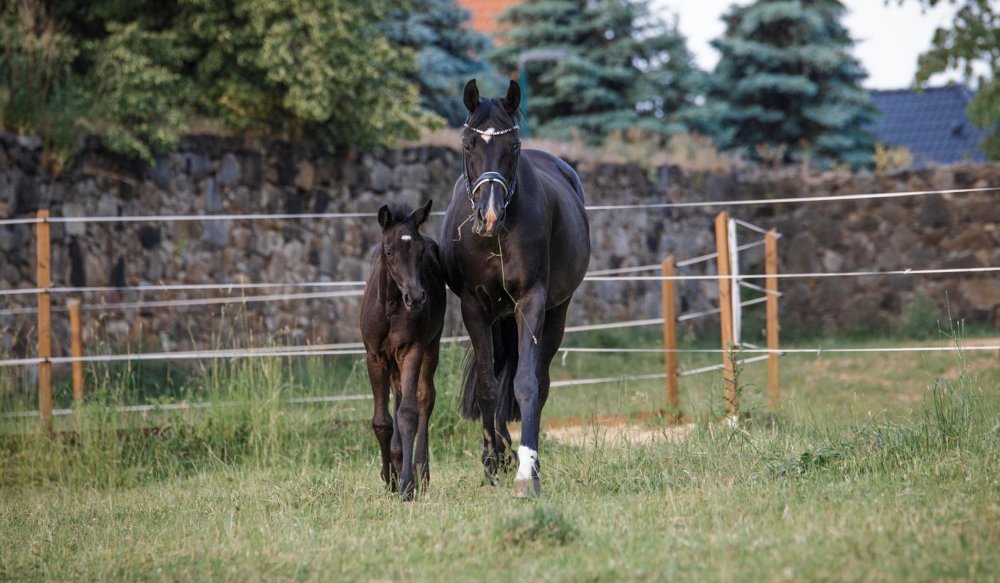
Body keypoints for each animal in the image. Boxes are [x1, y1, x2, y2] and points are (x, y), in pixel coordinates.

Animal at [360, 200, 446, 500]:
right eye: (389, 251)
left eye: (419, 251)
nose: (417, 297)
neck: (389, 307)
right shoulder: (375, 357)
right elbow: (382, 421)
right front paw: (389, 479)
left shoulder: (412, 350)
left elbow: (408, 413)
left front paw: (408, 485)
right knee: (397, 394)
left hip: (431, 346)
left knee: (424, 397)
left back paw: (421, 472)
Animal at [439, 79, 591, 497]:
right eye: (468, 144)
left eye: (513, 146)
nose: (489, 215)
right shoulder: (474, 308)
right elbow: (488, 388)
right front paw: (492, 464)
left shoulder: (531, 302)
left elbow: (526, 384)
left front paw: (527, 473)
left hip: (555, 312)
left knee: (540, 379)